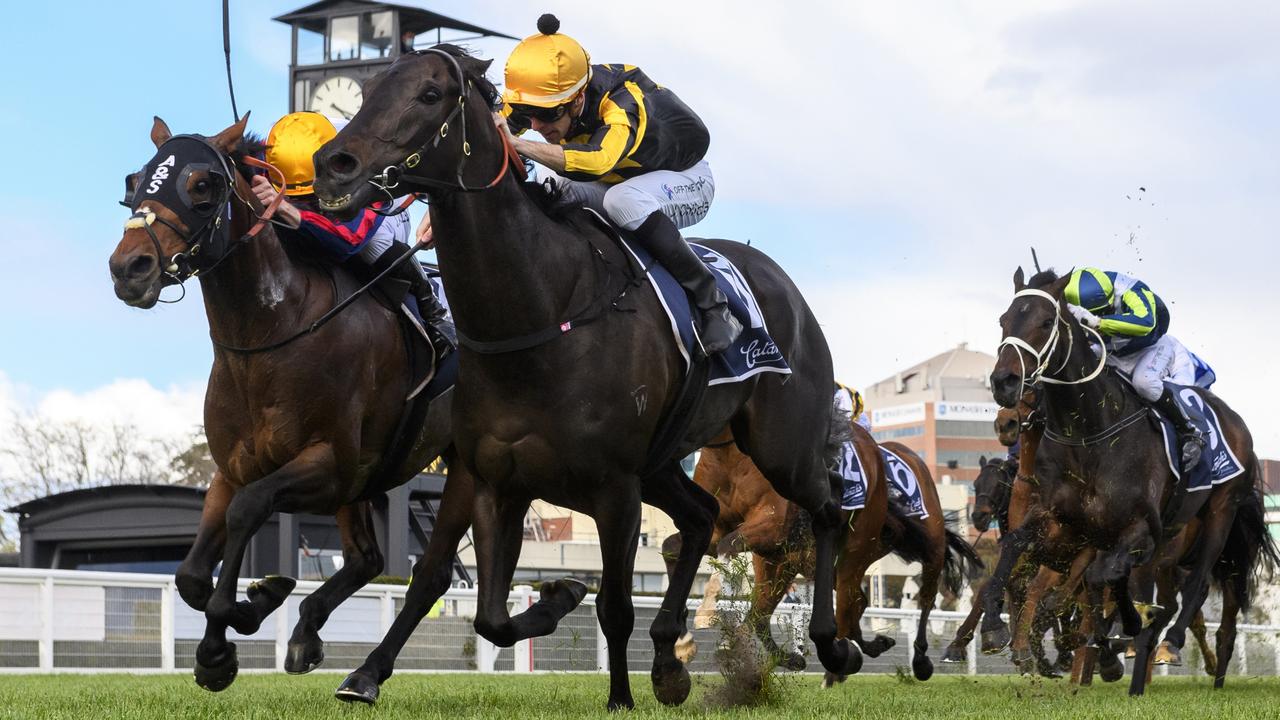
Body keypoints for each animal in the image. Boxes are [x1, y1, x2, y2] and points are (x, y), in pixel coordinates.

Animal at [665, 420, 972, 681]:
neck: (731, 456)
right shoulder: (720, 527)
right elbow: (672, 548)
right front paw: (682, 640)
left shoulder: (774, 525)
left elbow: (726, 547)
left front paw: (706, 611)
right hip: (790, 563)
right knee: (777, 613)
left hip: (909, 547)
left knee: (922, 597)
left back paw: (919, 660)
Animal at [977, 266, 1269, 691]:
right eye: (1004, 320)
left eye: (1047, 322)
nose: (1004, 382)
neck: (1090, 434)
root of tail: (1233, 418)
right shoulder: (1064, 519)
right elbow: (1017, 550)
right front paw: (995, 628)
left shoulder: (1138, 528)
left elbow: (1099, 580)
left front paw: (1119, 635)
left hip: (1221, 510)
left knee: (1197, 584)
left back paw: (1168, 643)